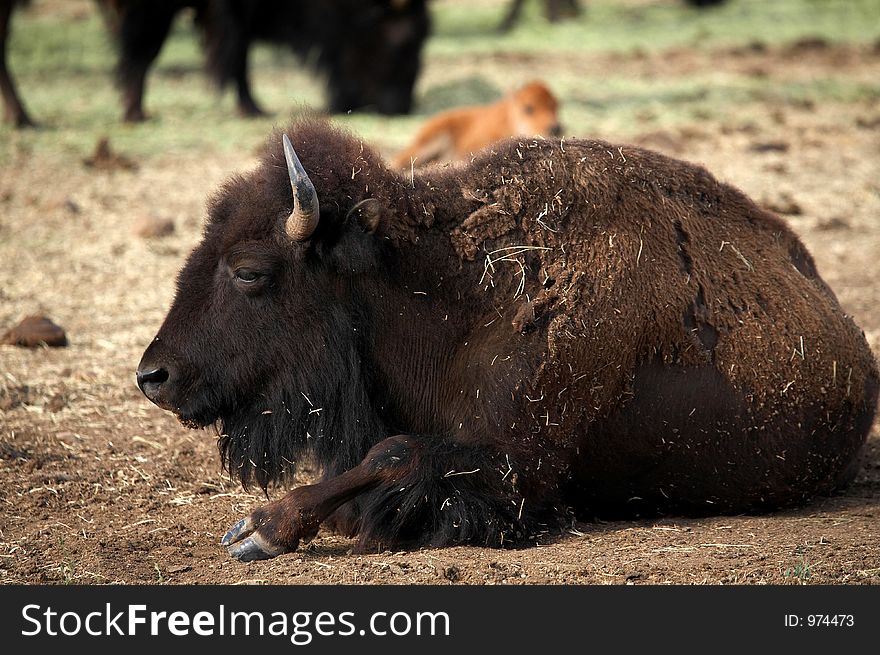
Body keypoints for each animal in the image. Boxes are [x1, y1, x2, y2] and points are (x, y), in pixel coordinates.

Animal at [134, 118, 876, 560]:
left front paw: (257, 528)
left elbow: (394, 454)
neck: (448, 292)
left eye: (250, 271)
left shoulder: (519, 465)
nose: (154, 376)